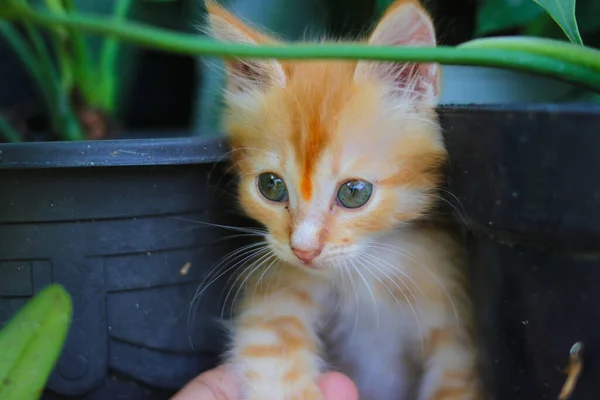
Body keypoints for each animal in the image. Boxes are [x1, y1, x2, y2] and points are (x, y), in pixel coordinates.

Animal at [204, 0, 486, 398]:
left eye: (354, 193)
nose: (303, 250)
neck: (370, 266)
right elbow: (272, 354)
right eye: (271, 186)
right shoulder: (275, 293)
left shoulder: (457, 329)